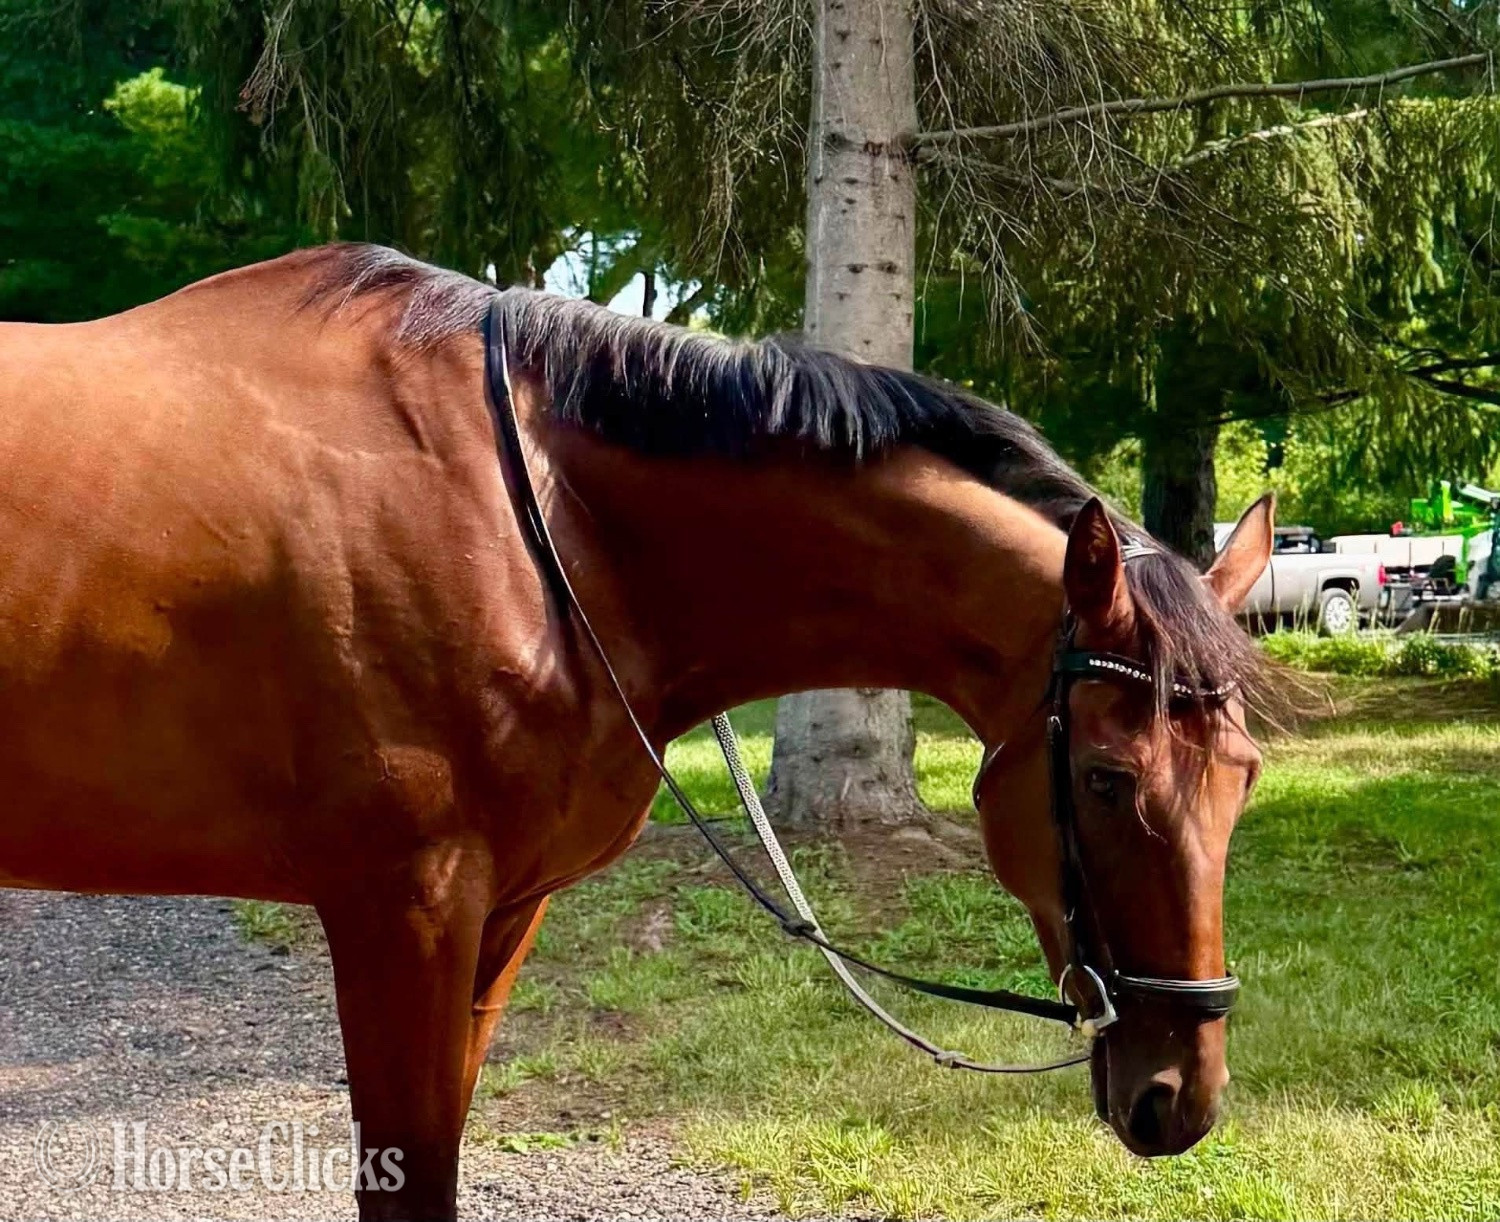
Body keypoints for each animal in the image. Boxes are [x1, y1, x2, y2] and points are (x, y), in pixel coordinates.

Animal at [0, 244, 1273, 1221]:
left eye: (1245, 780)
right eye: (1106, 778)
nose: (1183, 1093)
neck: (541, 523)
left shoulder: (497, 915)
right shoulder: (401, 908)